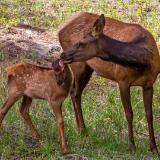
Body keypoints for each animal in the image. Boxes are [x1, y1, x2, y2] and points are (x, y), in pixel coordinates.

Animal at [58, 11, 160, 153]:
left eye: (82, 43)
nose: (62, 55)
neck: (143, 62)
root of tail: (59, 29)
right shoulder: (122, 80)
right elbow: (129, 113)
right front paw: (132, 146)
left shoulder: (149, 84)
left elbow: (149, 114)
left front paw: (154, 148)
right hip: (79, 65)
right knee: (75, 93)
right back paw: (83, 130)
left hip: (87, 68)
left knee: (75, 93)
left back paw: (80, 129)